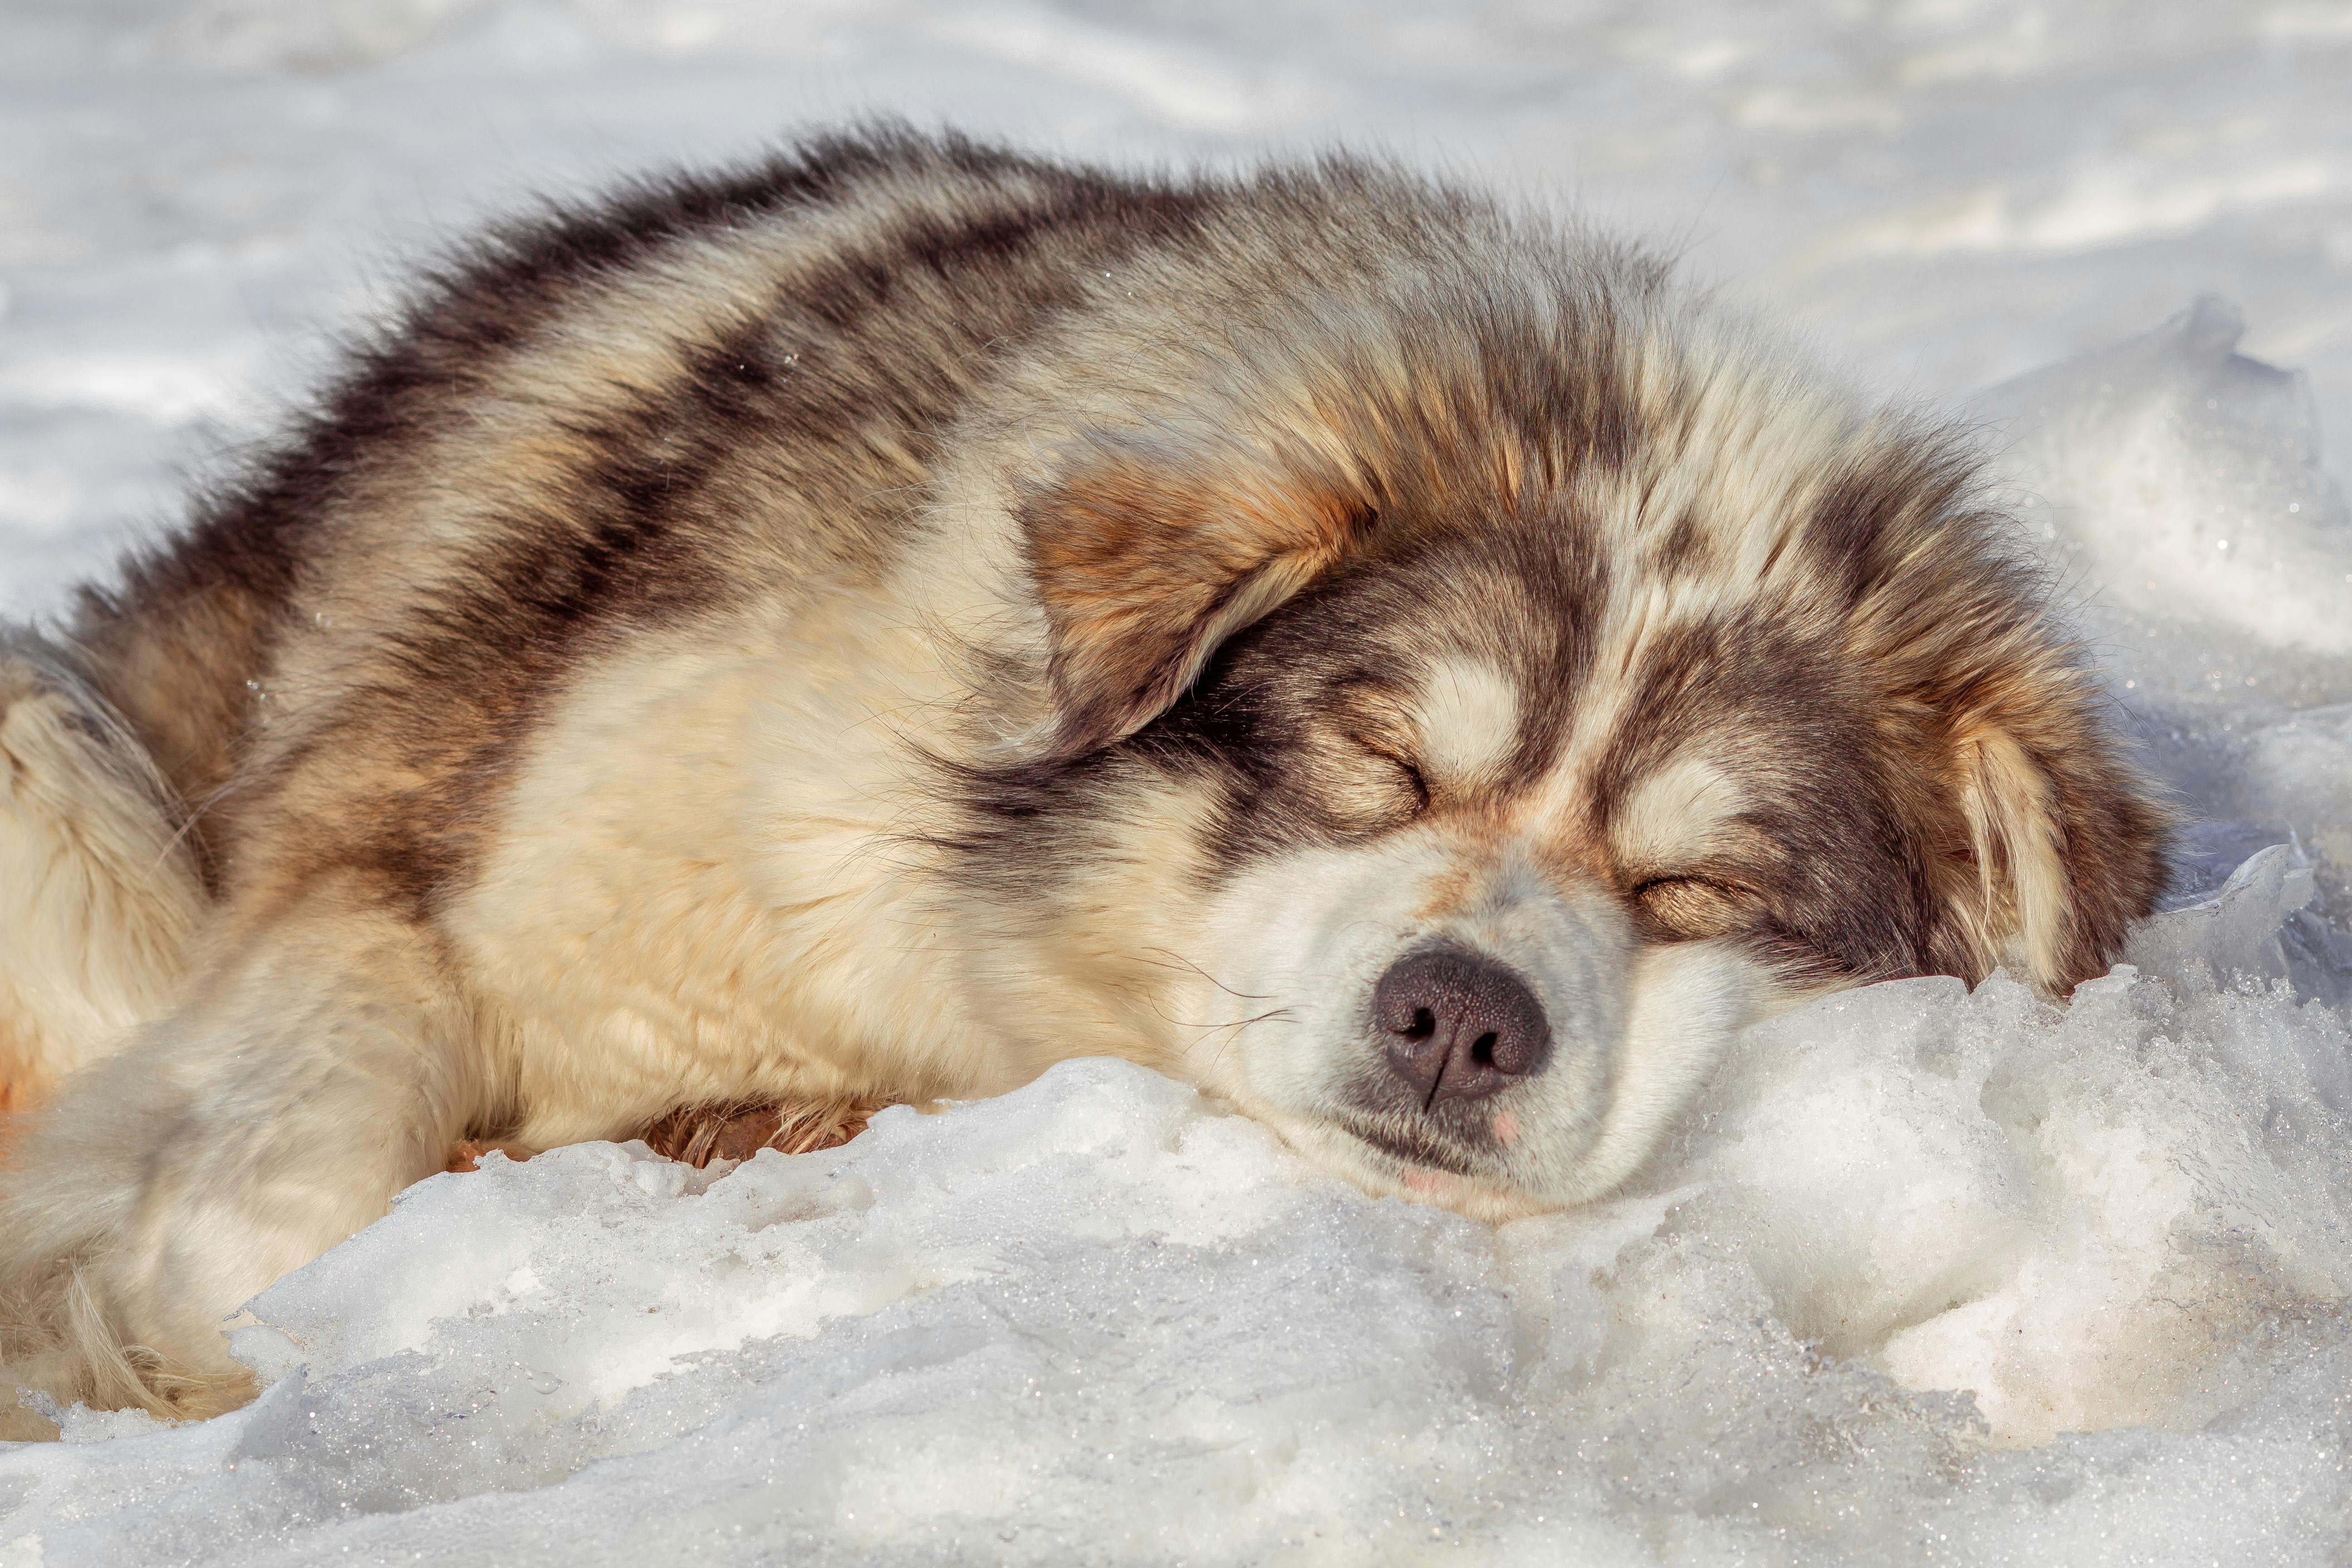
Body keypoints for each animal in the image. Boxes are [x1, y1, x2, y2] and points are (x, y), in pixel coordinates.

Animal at [0, 128, 2164, 1420]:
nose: (1460, 1017)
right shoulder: (390, 865)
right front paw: (167, 1320)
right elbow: (299, 1153)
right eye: (1379, 766)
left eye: (1691, 892)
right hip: (55, 755)